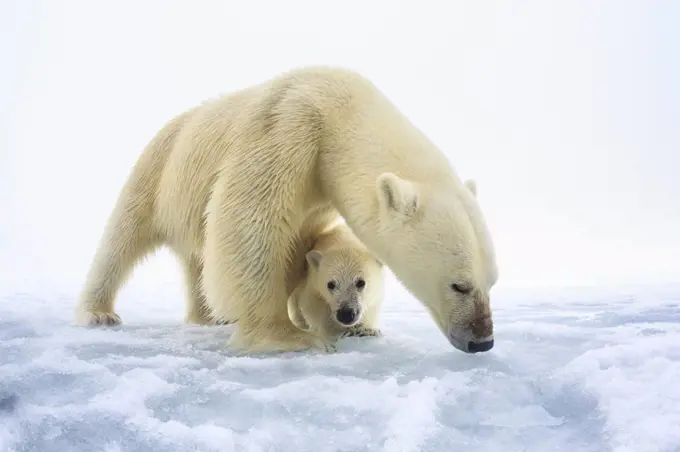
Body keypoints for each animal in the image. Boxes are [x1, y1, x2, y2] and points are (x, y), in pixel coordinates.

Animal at [75, 66, 500, 356]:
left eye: (492, 281)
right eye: (459, 285)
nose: (482, 341)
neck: (340, 112)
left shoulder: (317, 196)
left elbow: (296, 249)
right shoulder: (287, 129)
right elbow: (247, 225)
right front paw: (290, 335)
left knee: (196, 258)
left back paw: (207, 316)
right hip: (159, 169)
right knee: (123, 236)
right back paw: (98, 313)